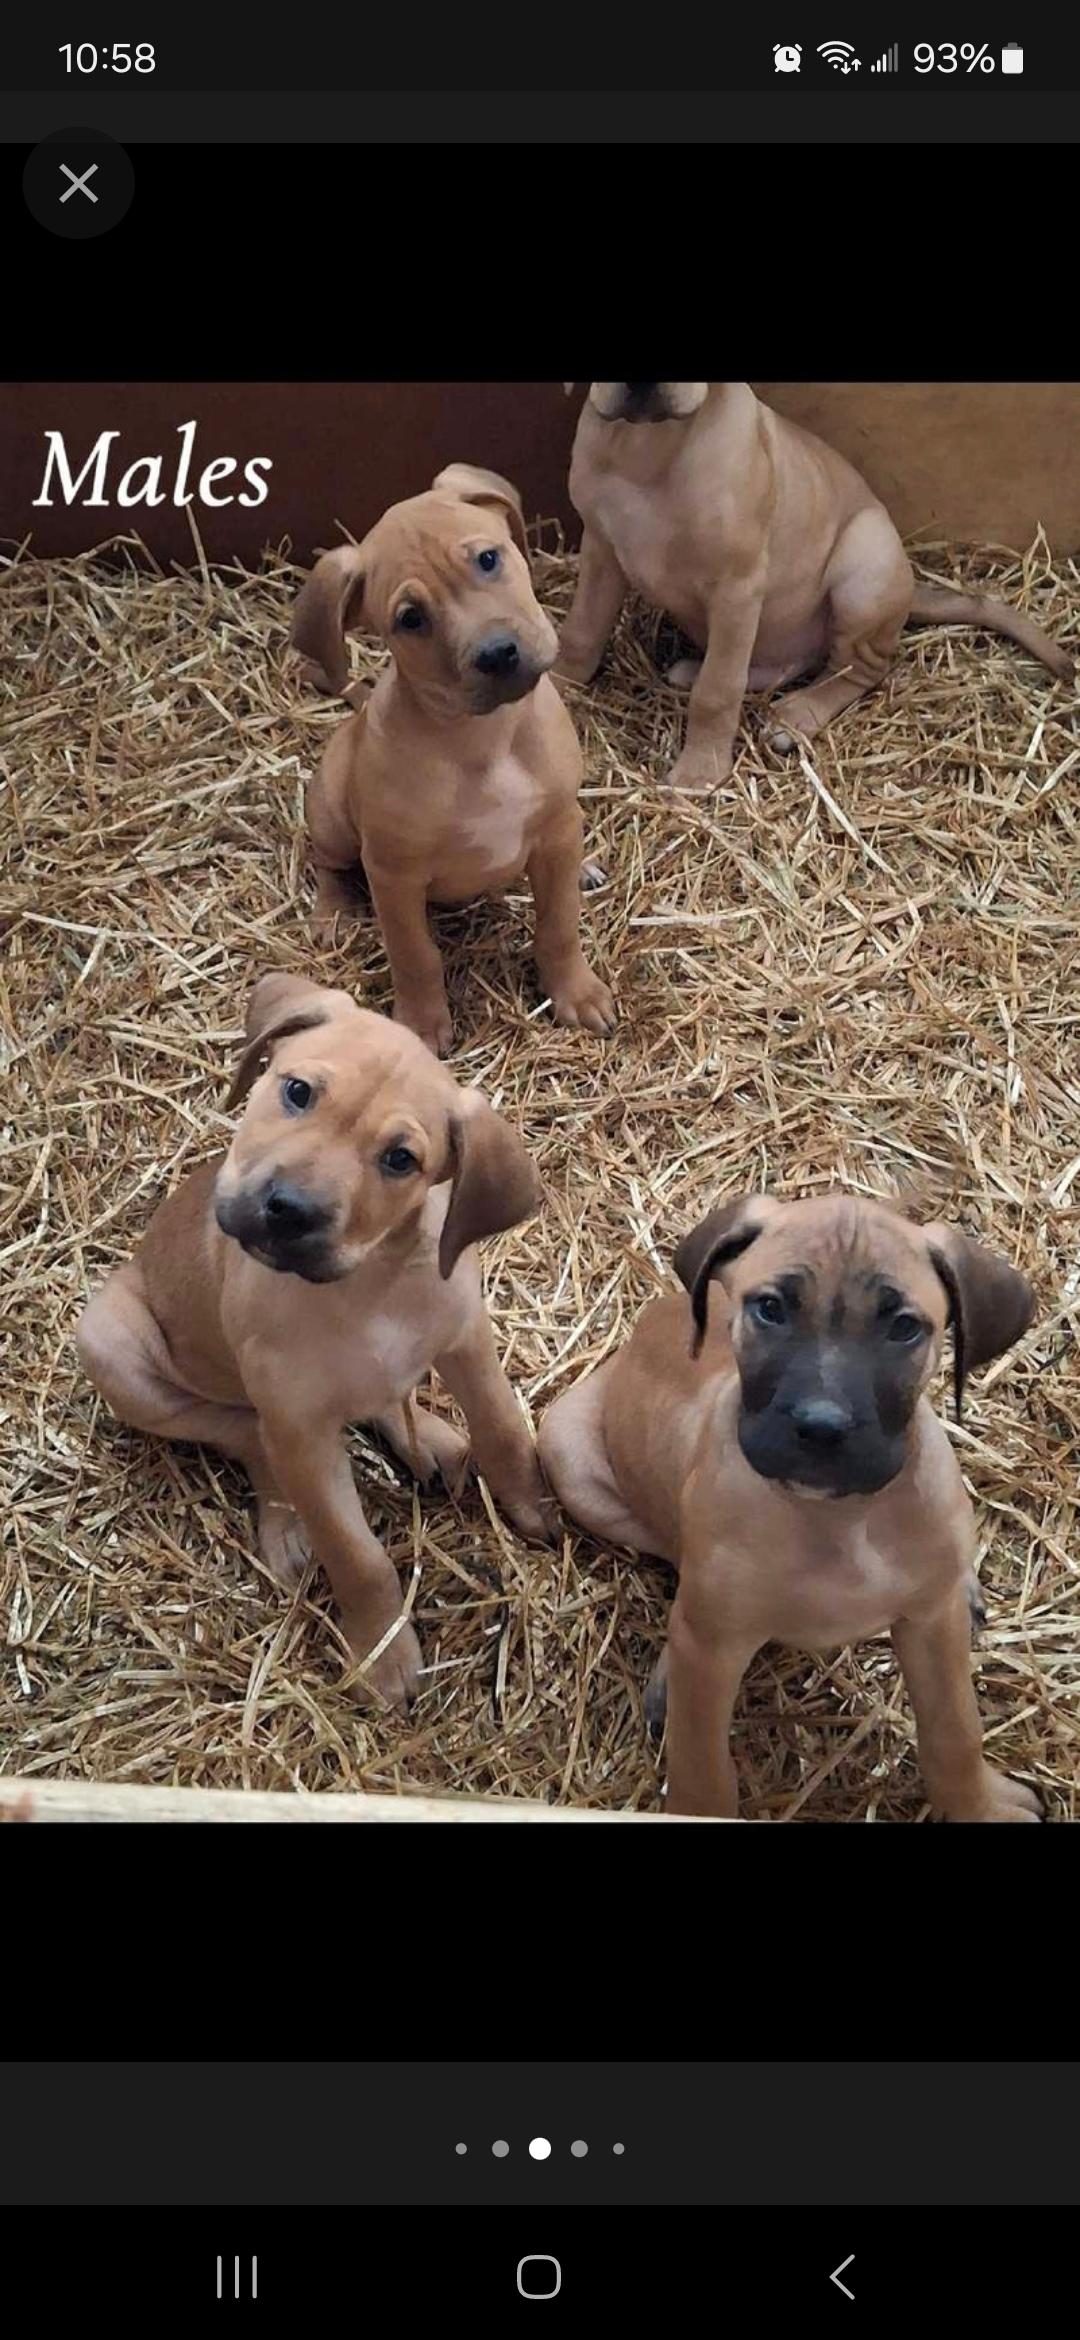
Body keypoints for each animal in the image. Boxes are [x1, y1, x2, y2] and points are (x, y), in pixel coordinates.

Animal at [75, 978, 556, 1712]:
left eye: (400, 1159)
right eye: (297, 1091)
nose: (289, 1209)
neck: (367, 1285)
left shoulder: (467, 1338)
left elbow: (503, 1426)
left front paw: (534, 1505)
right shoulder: (300, 1431)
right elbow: (358, 1557)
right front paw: (383, 1658)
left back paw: (431, 1440)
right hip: (110, 1342)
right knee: (245, 1431)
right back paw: (287, 1526)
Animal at [291, 458, 617, 1062]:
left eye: (488, 559)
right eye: (410, 618)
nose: (498, 654)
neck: (484, 741)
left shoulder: (559, 826)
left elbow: (559, 925)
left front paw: (575, 991)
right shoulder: (394, 875)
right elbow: (415, 956)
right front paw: (420, 1025)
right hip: (331, 815)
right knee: (329, 863)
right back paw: (333, 912)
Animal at [544, 1198, 1042, 1815]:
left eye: (904, 1327)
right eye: (771, 1309)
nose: (821, 1427)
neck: (839, 1519)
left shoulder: (931, 1627)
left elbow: (955, 1729)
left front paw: (978, 1805)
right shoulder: (712, 1650)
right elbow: (702, 1767)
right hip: (566, 1451)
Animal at [556, 379, 1070, 790]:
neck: (648, 447)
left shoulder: (737, 587)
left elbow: (718, 690)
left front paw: (701, 769)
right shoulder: (600, 550)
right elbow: (582, 633)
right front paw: (557, 686)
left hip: (863, 567)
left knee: (857, 669)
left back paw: (797, 714)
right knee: (787, 663)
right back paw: (696, 671)